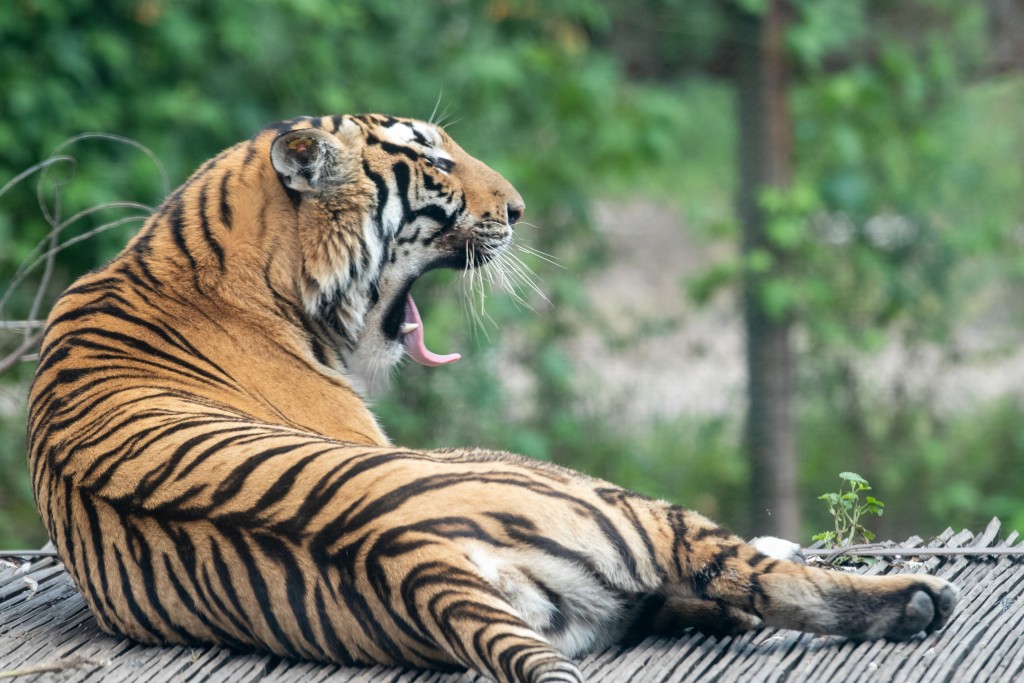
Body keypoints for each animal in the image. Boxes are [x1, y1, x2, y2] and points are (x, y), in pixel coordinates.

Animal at [28, 114, 958, 683]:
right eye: (434, 161)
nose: (517, 208)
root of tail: (412, 557)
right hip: (608, 498)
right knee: (754, 573)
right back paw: (914, 597)